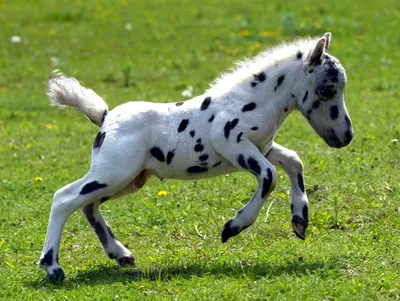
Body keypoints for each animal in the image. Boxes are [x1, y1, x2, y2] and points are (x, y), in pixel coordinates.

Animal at [39, 32, 354, 278]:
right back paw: (53, 267)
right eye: (327, 89)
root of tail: (105, 118)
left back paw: (121, 254)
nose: (345, 136)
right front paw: (232, 227)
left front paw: (300, 220)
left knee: (88, 206)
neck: (248, 102)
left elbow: (293, 161)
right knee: (64, 198)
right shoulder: (237, 146)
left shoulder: (264, 147)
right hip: (113, 173)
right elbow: (269, 176)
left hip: (129, 179)